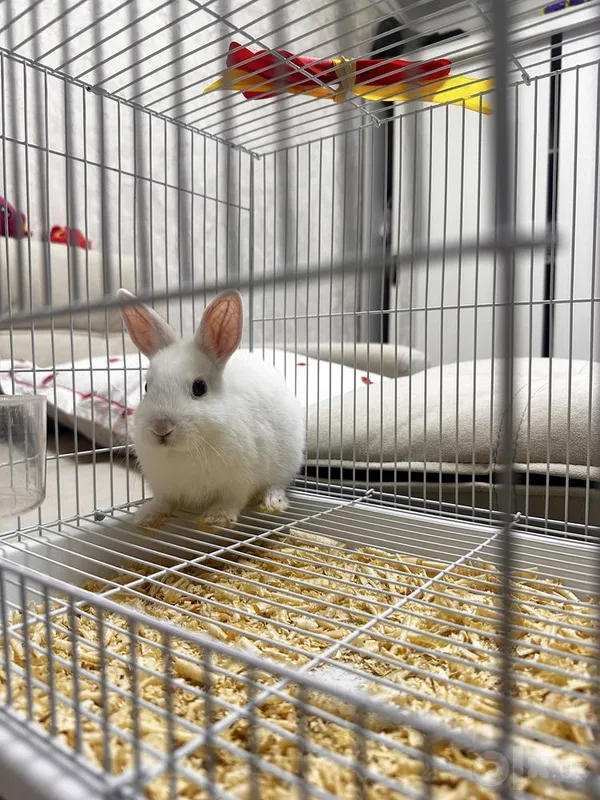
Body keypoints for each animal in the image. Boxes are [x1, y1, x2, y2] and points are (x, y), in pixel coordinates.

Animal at [118, 287, 305, 528]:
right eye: (146, 387)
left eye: (199, 387)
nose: (161, 429)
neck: (182, 451)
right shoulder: (164, 487)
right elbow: (163, 501)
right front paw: (147, 515)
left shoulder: (238, 482)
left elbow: (231, 500)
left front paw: (217, 518)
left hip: (288, 461)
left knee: (277, 483)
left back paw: (272, 502)